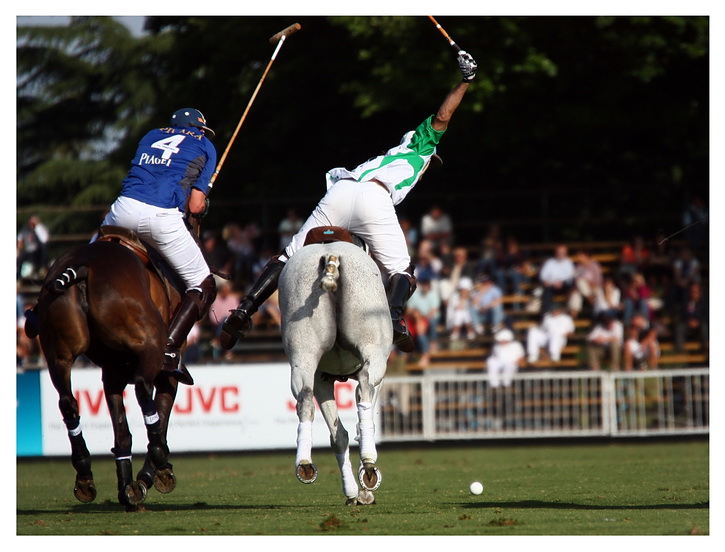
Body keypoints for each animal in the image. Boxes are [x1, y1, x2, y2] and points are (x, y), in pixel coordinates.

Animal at [25, 226, 184, 511]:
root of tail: (82, 269)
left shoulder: (112, 372)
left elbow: (121, 432)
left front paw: (127, 488)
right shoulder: (167, 372)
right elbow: (160, 413)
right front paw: (150, 475)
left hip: (58, 354)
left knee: (68, 403)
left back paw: (84, 475)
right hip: (150, 345)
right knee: (144, 390)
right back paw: (159, 460)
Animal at [278, 230, 393, 505]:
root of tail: (331, 255)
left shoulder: (322, 378)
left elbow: (338, 436)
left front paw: (353, 491)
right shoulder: (378, 374)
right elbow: (358, 424)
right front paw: (361, 491)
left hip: (303, 354)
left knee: (305, 399)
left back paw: (304, 463)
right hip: (374, 351)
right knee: (364, 389)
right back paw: (369, 465)